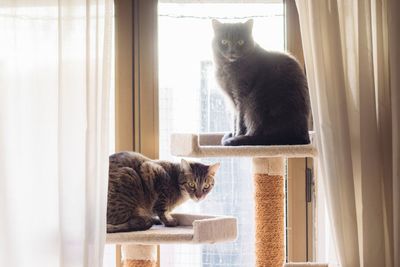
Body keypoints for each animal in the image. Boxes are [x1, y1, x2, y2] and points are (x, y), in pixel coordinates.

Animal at [212, 19, 310, 147]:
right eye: (224, 41)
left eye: (240, 42)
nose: (232, 51)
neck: (227, 67)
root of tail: (302, 137)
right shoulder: (232, 100)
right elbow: (234, 119)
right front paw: (233, 134)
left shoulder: (241, 95)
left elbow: (239, 120)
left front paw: (236, 135)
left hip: (254, 102)